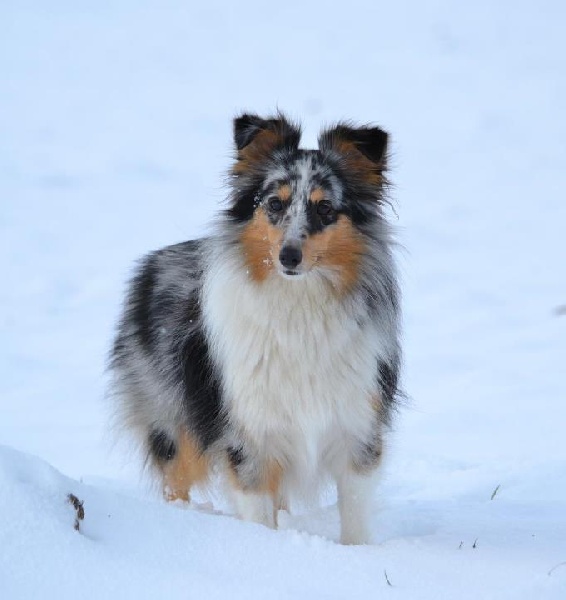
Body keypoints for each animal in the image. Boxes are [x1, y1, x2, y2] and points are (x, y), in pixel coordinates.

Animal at [111, 111, 402, 544]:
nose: (288, 257)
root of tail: (150, 265)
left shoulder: (357, 427)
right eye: (274, 203)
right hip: (174, 421)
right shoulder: (249, 436)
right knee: (175, 479)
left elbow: (354, 512)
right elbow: (257, 511)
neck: (299, 307)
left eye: (325, 209)